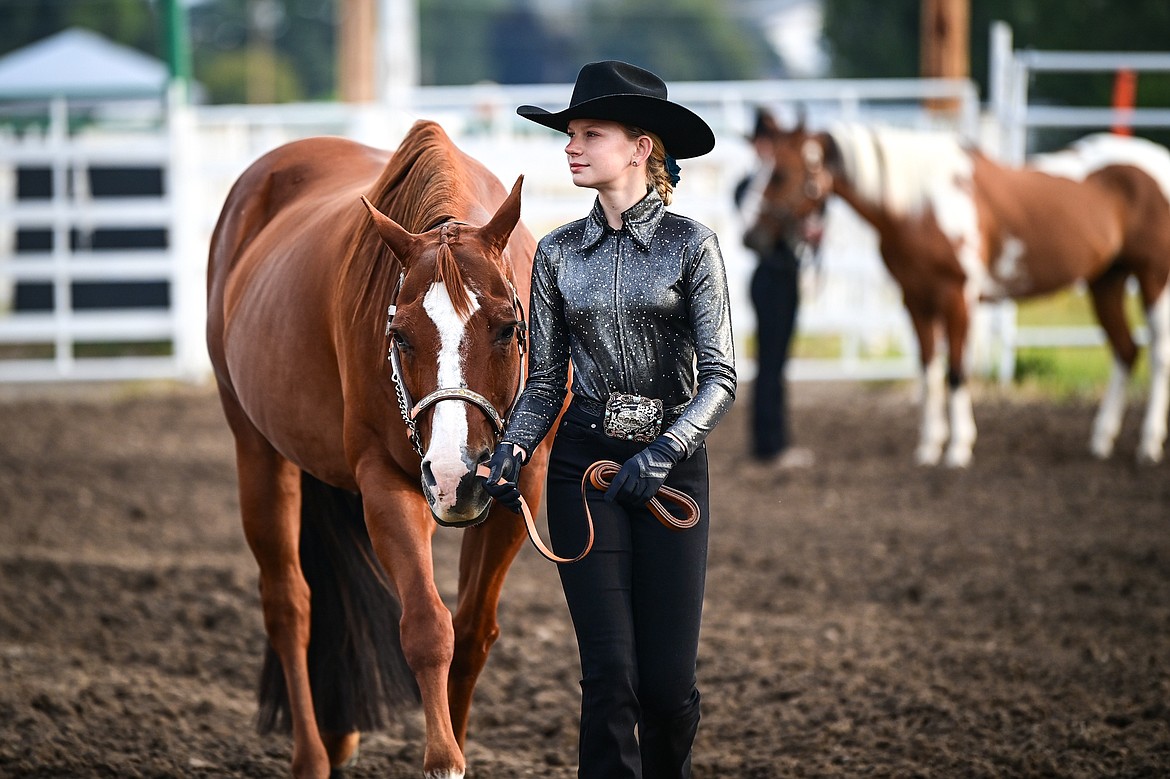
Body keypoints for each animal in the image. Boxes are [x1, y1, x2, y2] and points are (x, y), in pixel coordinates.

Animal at [207, 118, 552, 771]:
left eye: (509, 328)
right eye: (398, 335)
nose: (456, 477)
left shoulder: (521, 485)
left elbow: (472, 631)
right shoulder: (387, 481)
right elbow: (427, 627)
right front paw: (443, 760)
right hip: (256, 449)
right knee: (288, 603)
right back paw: (312, 757)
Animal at [748, 114, 1170, 467]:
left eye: (781, 174)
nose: (752, 236)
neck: (920, 205)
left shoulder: (958, 299)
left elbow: (955, 370)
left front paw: (958, 448)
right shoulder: (916, 301)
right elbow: (928, 370)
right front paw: (928, 447)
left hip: (1154, 279)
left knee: (1158, 356)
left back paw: (1148, 445)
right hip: (1106, 282)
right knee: (1126, 351)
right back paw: (1101, 441)